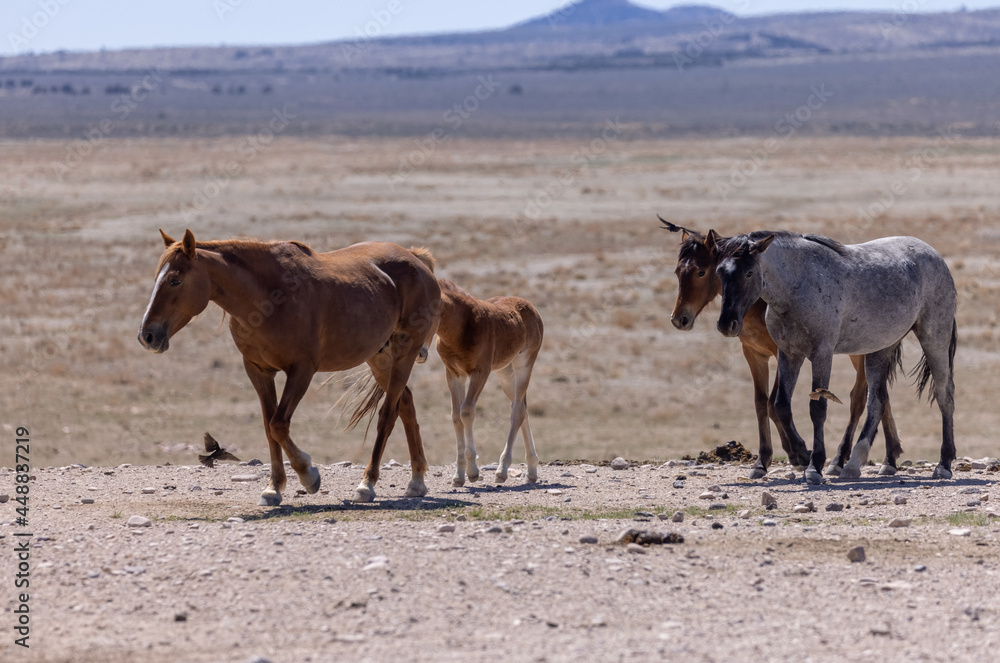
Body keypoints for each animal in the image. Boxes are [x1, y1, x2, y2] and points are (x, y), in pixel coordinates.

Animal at [139, 231, 440, 506]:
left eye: (175, 280)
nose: (147, 336)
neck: (267, 297)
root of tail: (417, 259)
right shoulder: (258, 371)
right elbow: (268, 426)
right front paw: (273, 488)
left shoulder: (301, 370)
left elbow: (279, 424)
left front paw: (309, 475)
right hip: (379, 357)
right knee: (406, 404)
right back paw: (416, 482)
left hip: (404, 353)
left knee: (388, 414)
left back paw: (367, 484)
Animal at [438, 278, 548, 486]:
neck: (462, 328)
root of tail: (531, 308)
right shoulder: (454, 374)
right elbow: (456, 416)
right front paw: (458, 476)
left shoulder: (480, 373)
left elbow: (466, 412)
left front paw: (472, 472)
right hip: (504, 372)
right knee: (522, 406)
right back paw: (531, 471)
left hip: (523, 364)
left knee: (517, 410)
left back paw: (502, 470)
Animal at [660, 220, 904, 480]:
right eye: (678, 272)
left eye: (701, 272)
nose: (679, 319)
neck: (759, 302)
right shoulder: (754, 354)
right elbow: (761, 403)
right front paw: (763, 460)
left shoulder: (782, 353)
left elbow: (774, 404)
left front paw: (800, 455)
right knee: (880, 396)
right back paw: (889, 457)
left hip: (861, 353)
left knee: (861, 397)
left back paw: (847, 459)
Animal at [716, 231, 956, 486]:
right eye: (719, 272)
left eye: (749, 273)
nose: (727, 324)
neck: (799, 285)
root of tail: (934, 255)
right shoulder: (789, 354)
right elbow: (781, 405)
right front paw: (801, 456)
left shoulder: (822, 354)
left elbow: (818, 408)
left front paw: (813, 466)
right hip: (880, 348)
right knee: (877, 401)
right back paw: (853, 464)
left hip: (934, 339)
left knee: (944, 394)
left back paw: (944, 464)